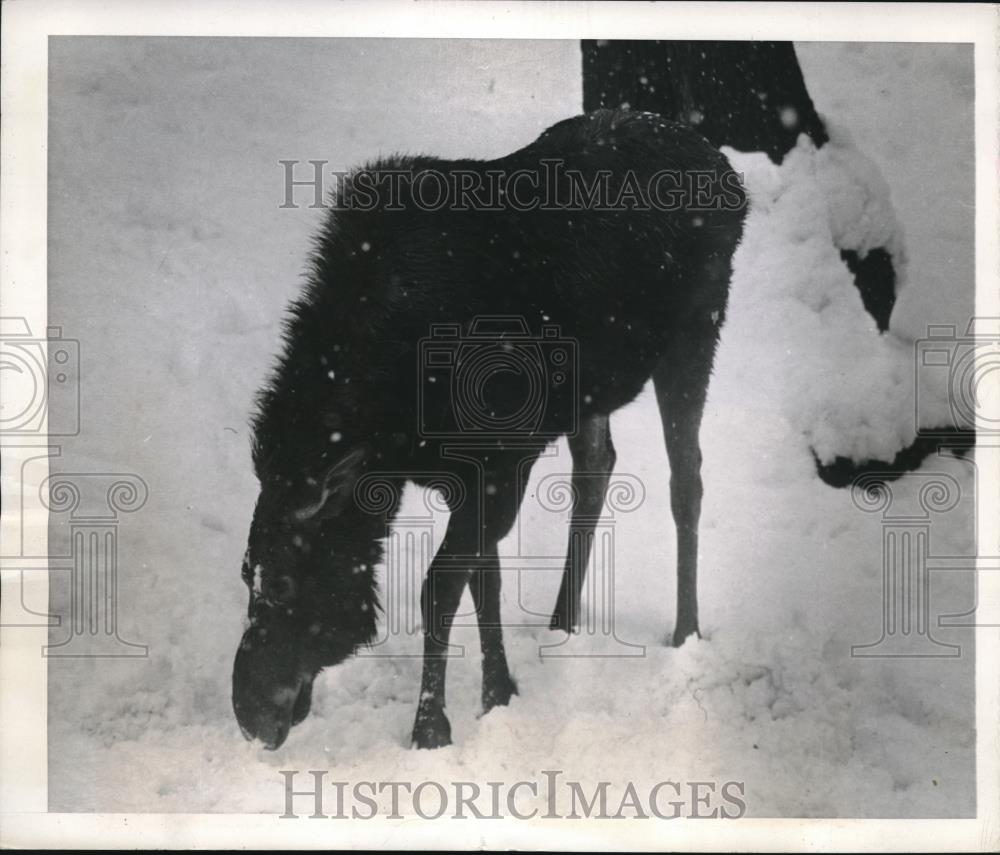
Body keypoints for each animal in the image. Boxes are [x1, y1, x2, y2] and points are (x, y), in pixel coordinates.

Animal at [234, 107, 748, 748]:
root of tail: (723, 167)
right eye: (245, 573)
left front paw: (432, 727)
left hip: (696, 331)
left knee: (687, 478)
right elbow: (487, 579)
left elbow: (440, 589)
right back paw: (561, 624)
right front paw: (499, 695)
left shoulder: (498, 461)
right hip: (593, 389)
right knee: (597, 465)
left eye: (282, 584)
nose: (248, 716)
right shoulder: (477, 474)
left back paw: (685, 633)